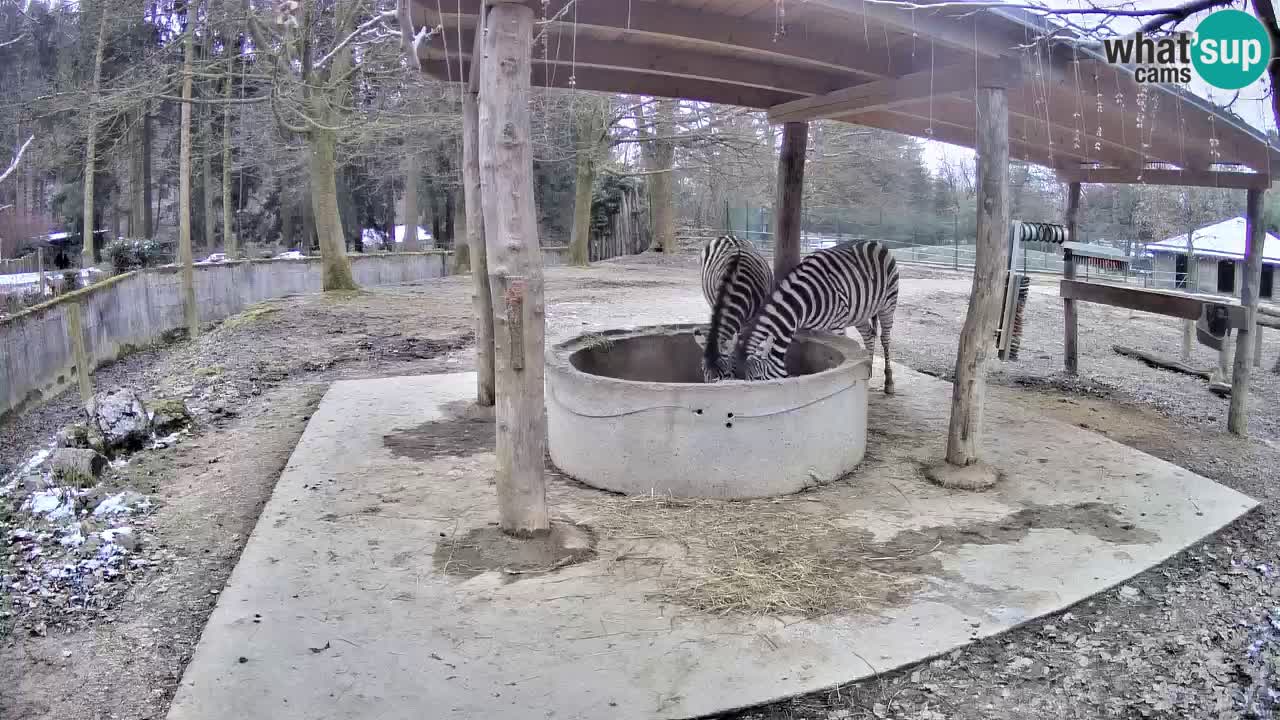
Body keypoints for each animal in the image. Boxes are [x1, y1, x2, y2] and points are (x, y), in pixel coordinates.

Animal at [732, 238, 901, 392]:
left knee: (885, 339)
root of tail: (874, 242)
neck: (805, 300)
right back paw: (869, 371)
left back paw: (889, 382)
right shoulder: (813, 328)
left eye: (758, 378)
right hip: (859, 312)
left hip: (888, 304)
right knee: (869, 336)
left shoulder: (838, 324)